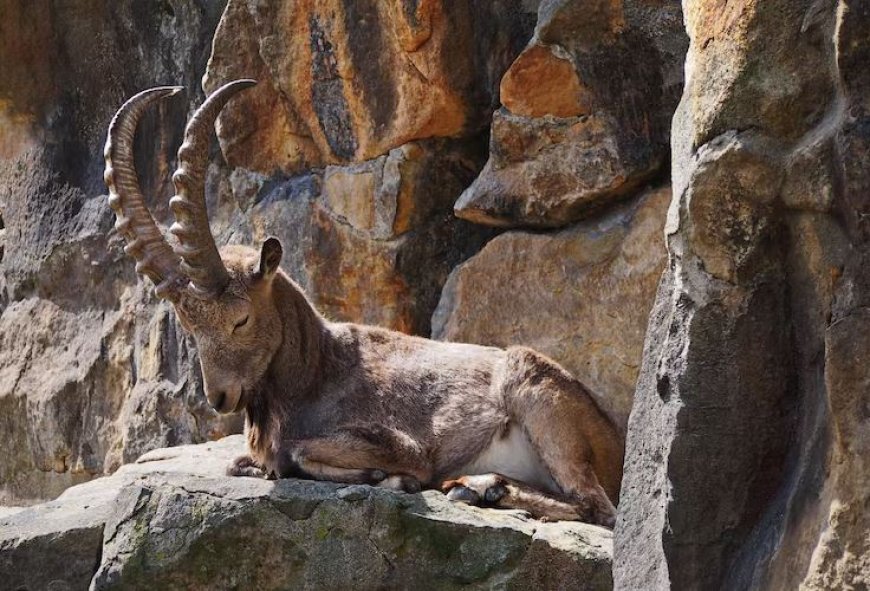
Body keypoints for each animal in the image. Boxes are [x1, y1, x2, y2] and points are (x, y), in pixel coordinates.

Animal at [104, 81, 624, 526]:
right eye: (189, 327)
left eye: (241, 319)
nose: (220, 397)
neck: (317, 369)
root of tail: (612, 439)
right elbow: (240, 462)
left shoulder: (403, 444)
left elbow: (300, 454)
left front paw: (390, 479)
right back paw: (475, 486)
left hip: (538, 399)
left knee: (597, 508)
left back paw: (476, 486)